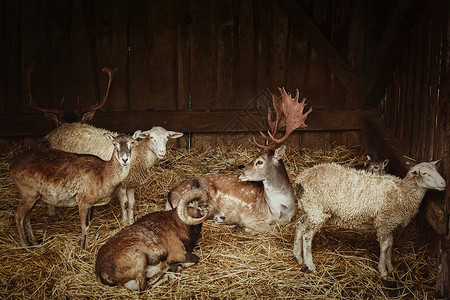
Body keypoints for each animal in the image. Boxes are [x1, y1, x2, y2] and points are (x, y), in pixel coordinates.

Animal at [9, 133, 139, 248]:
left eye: (132, 142)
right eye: (114, 144)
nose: (125, 159)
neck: (103, 173)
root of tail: (12, 165)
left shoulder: (90, 204)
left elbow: (88, 224)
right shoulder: (82, 201)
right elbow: (84, 226)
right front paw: (83, 248)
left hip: (35, 196)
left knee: (26, 216)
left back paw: (34, 242)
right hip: (27, 193)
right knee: (18, 216)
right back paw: (25, 245)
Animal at [294, 162, 444, 278]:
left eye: (437, 170)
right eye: (425, 173)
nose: (444, 183)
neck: (403, 193)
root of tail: (302, 178)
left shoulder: (389, 224)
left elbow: (390, 244)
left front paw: (390, 267)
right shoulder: (384, 223)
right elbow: (385, 247)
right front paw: (383, 271)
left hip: (311, 209)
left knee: (300, 225)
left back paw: (298, 256)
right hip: (317, 210)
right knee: (307, 235)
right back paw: (310, 264)